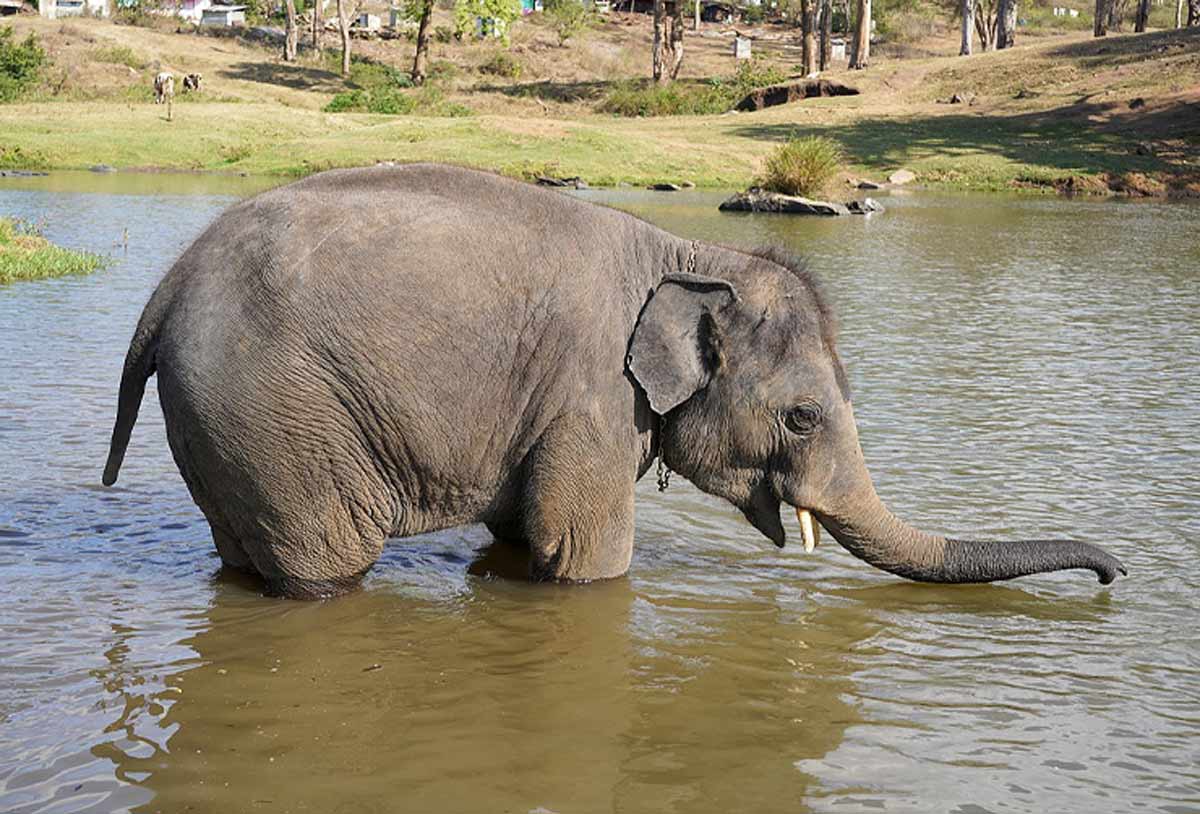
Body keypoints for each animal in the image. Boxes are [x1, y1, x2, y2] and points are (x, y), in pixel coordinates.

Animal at [102, 164, 1126, 599]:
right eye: (802, 417)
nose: (1116, 575)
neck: (693, 251)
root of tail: (164, 291)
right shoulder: (590, 397)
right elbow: (585, 556)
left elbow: (525, 536)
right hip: (279, 414)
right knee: (328, 565)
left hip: (232, 423)